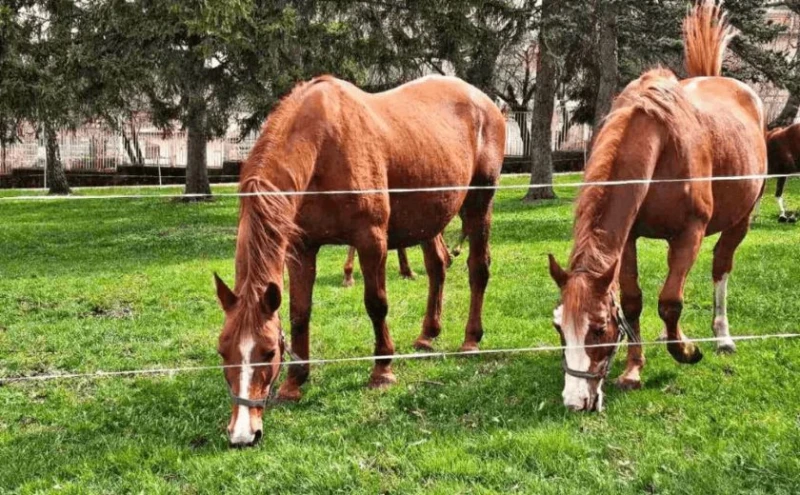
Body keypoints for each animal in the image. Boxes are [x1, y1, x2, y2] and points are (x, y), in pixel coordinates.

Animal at [209, 74, 504, 450]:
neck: (324, 144)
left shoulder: (371, 240)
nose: (243, 434)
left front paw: (382, 370)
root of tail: (484, 101)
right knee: (438, 266)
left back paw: (470, 340)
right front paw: (294, 382)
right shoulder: (302, 248)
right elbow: (299, 313)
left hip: (479, 204)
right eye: (223, 352)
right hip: (429, 216)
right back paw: (427, 335)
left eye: (268, 351)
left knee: (478, 269)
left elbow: (376, 304)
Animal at [548, 0, 764, 412]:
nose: (573, 400)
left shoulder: (689, 235)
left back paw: (722, 336)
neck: (661, 144)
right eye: (559, 327)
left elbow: (670, 302)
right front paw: (634, 370)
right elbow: (633, 302)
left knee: (721, 268)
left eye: (598, 328)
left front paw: (686, 351)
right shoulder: (629, 238)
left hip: (739, 221)